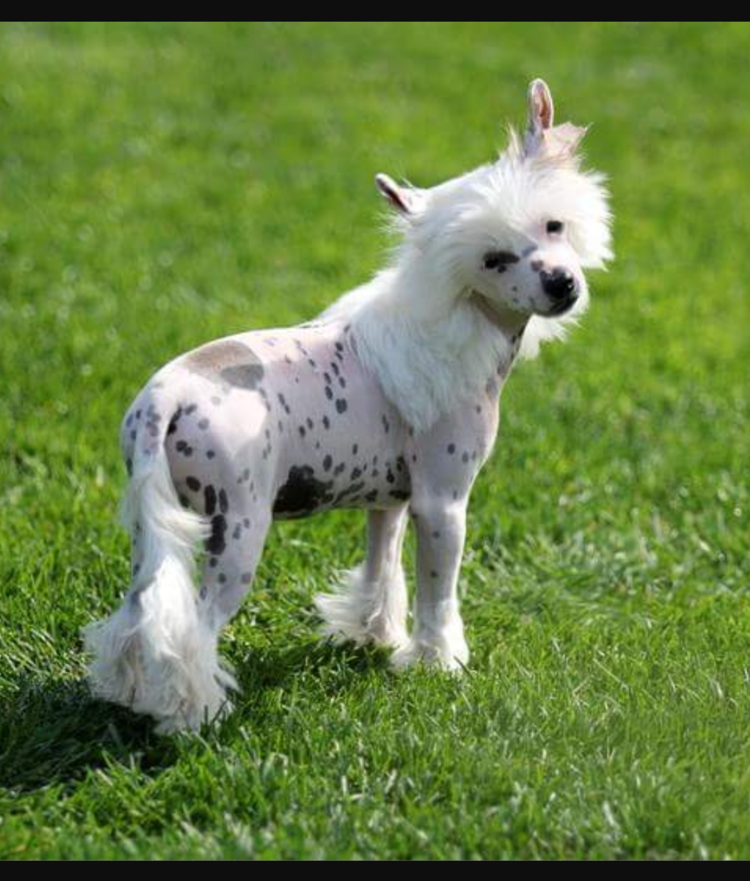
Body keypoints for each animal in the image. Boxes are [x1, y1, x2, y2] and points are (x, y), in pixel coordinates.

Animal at [83, 79, 612, 732]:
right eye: (494, 260)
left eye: (554, 225)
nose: (563, 284)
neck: (458, 314)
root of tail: (164, 397)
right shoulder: (442, 504)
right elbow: (438, 593)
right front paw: (438, 663)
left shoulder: (390, 501)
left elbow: (381, 567)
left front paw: (374, 635)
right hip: (237, 530)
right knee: (191, 630)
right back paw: (192, 715)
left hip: (151, 529)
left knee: (138, 613)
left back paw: (127, 692)